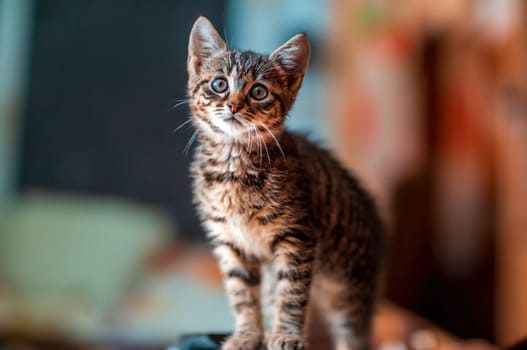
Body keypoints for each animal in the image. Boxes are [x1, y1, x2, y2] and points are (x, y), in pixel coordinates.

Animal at [188, 16, 386, 350]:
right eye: (219, 84)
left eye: (258, 92)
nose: (233, 106)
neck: (234, 164)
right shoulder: (229, 242)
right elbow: (242, 294)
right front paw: (247, 335)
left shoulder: (296, 237)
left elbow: (291, 293)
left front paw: (287, 334)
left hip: (351, 288)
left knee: (352, 331)